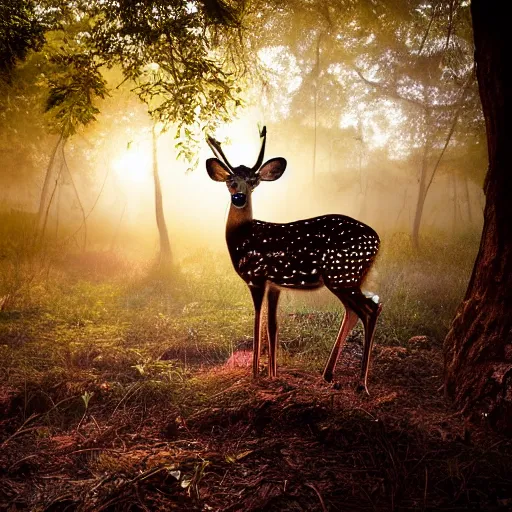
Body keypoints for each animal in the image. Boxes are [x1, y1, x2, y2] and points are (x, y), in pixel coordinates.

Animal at [206, 127, 382, 392]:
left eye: (254, 182)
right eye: (230, 180)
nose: (239, 198)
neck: (243, 237)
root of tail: (378, 241)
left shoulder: (256, 277)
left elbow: (257, 321)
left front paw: (255, 375)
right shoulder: (275, 284)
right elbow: (273, 324)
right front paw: (272, 375)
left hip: (341, 274)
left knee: (370, 309)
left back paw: (361, 384)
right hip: (348, 278)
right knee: (355, 311)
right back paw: (328, 375)